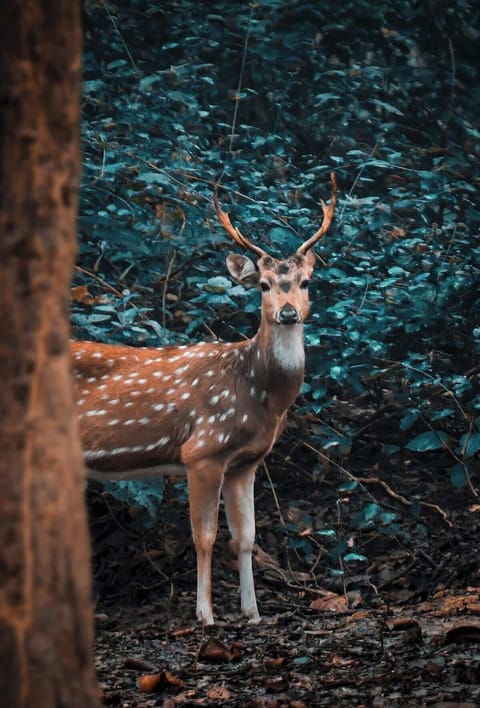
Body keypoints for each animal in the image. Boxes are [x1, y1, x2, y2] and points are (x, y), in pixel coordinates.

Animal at [73, 173, 336, 625]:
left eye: (305, 283)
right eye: (263, 285)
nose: (287, 313)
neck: (258, 394)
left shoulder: (245, 462)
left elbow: (246, 537)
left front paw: (253, 613)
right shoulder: (202, 451)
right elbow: (205, 537)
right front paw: (205, 614)